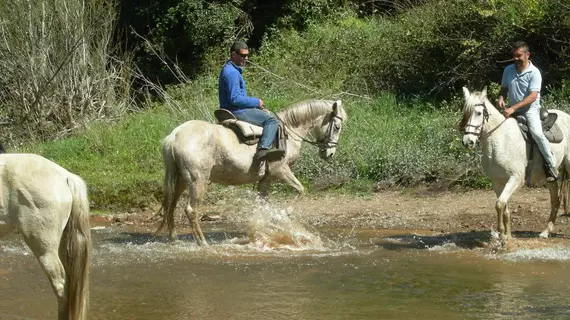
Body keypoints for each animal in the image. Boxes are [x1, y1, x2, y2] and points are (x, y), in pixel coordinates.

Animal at [156, 99, 346, 245]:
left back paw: (174, 239)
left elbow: (263, 205)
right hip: (197, 181)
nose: (329, 154)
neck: (289, 131)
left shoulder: (266, 180)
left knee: (171, 205)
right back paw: (202, 242)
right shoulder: (280, 170)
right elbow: (301, 190)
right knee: (191, 210)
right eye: (337, 127)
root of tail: (175, 135)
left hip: (180, 180)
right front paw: (283, 213)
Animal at [460, 86, 568, 244]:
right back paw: (545, 232)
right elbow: (504, 207)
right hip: (549, 178)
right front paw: (505, 235)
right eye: (465, 112)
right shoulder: (497, 181)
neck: (500, 140)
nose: (467, 141)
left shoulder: (515, 178)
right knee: (556, 200)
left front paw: (502, 235)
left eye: (479, 113)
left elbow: (499, 203)